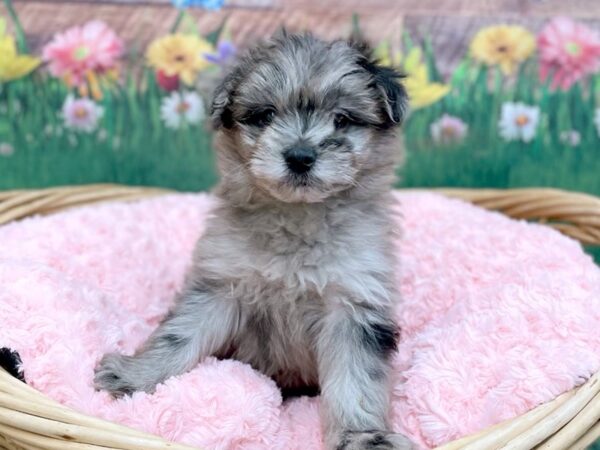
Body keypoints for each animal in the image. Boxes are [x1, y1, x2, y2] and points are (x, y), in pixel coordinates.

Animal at [95, 32, 412, 450]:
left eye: (342, 120)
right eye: (265, 116)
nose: (299, 156)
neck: (298, 218)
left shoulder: (354, 306)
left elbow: (356, 381)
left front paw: (362, 437)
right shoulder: (221, 286)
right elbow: (179, 336)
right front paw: (136, 376)